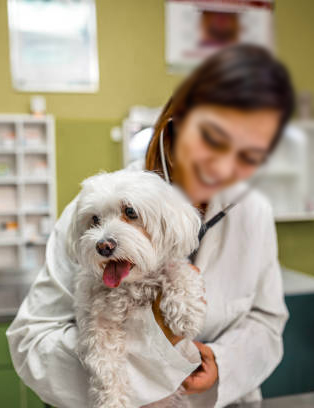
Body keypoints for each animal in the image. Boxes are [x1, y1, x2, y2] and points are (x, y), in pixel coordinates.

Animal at [67, 170, 206, 408]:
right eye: (94, 219)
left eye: (130, 211)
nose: (103, 246)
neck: (130, 286)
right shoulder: (98, 323)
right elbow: (106, 365)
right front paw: (112, 401)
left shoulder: (171, 265)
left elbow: (178, 271)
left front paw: (186, 311)